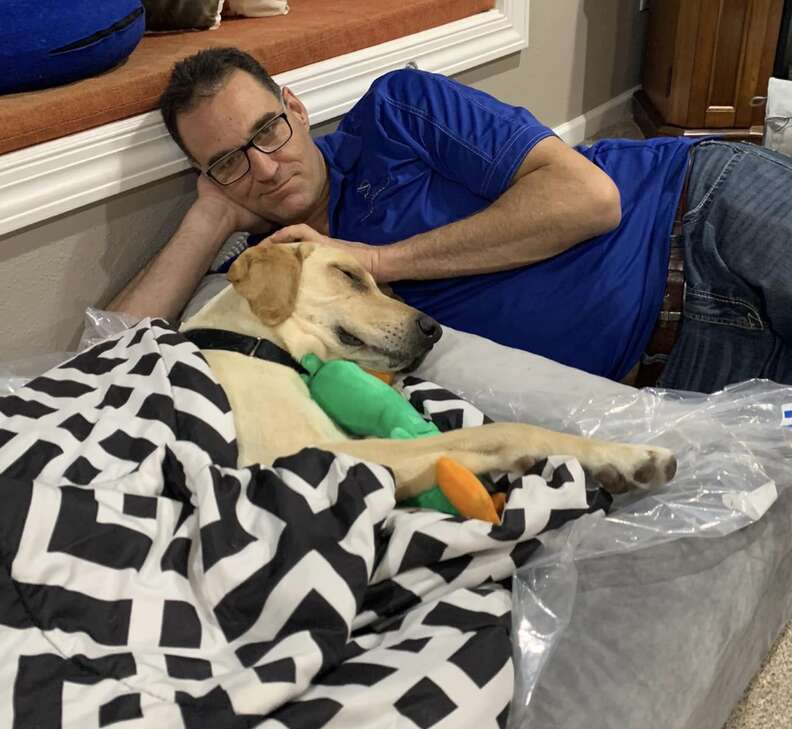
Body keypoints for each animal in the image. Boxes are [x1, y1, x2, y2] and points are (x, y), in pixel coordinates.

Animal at [183, 245, 676, 500]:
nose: (433, 329)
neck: (253, 343)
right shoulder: (321, 458)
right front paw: (631, 457)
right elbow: (511, 430)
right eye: (349, 274)